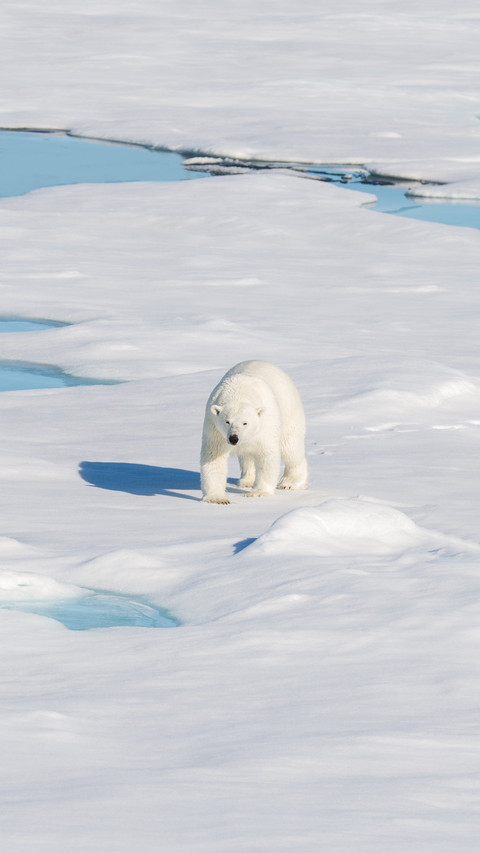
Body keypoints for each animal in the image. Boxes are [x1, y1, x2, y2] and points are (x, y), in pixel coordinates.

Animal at [200, 360, 308, 504]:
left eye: (245, 422)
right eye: (227, 421)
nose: (234, 438)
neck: (239, 392)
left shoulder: (266, 425)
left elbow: (266, 455)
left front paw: (258, 493)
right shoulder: (215, 429)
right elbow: (214, 456)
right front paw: (217, 499)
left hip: (289, 411)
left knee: (291, 448)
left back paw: (290, 482)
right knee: (247, 457)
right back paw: (246, 481)